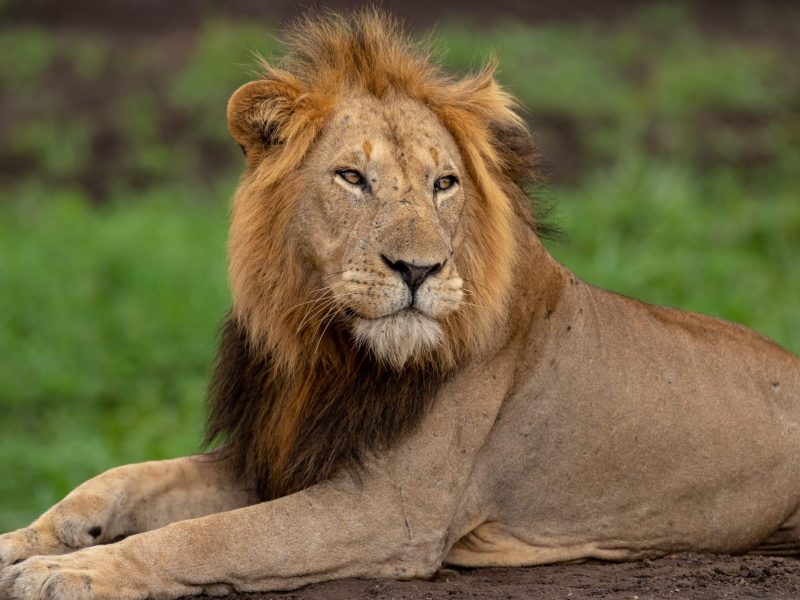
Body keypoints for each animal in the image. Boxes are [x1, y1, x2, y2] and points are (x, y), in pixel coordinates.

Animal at [1, 9, 799, 600]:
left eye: (444, 183)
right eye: (352, 177)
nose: (419, 269)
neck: (326, 348)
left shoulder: (392, 511)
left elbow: (207, 537)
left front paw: (74, 572)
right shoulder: (277, 454)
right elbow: (125, 480)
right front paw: (24, 543)